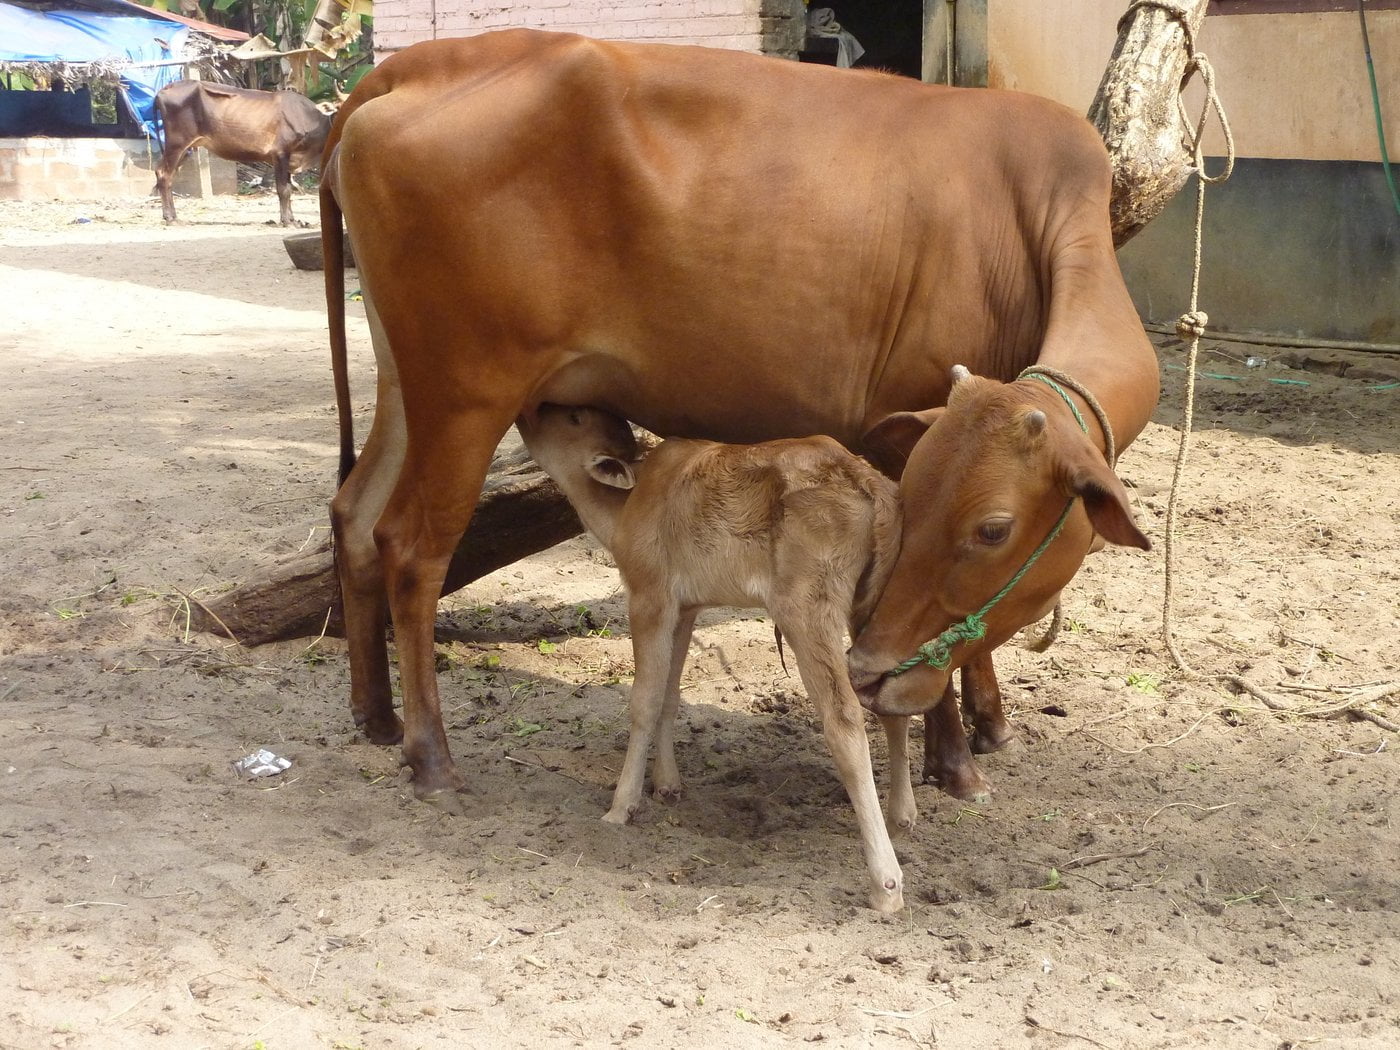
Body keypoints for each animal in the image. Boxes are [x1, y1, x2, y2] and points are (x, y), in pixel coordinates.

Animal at [151, 82, 329, 228]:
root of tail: (163, 90)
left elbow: (289, 189)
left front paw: (293, 220)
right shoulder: (280, 154)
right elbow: (283, 190)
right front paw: (287, 221)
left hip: (185, 149)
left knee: (167, 176)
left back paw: (173, 216)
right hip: (177, 144)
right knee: (163, 174)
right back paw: (170, 218)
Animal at [320, 28, 1159, 812]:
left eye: (991, 530)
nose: (870, 674)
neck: (1031, 217)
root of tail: (409, 68)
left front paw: (991, 722)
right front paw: (953, 756)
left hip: (407, 382)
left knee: (354, 513)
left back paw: (375, 717)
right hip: (467, 394)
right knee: (412, 549)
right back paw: (430, 753)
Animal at [520, 406, 912, 918]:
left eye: (572, 416)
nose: (527, 411)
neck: (624, 512)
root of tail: (867, 481)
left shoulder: (648, 595)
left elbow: (644, 700)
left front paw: (621, 807)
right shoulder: (687, 607)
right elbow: (670, 694)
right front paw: (668, 786)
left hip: (807, 607)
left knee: (844, 718)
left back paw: (885, 883)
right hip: (872, 601)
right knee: (894, 699)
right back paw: (903, 814)